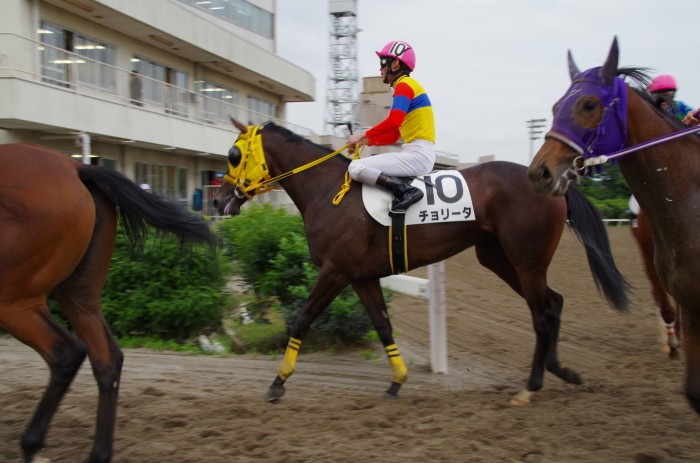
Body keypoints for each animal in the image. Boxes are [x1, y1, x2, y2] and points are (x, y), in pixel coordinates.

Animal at [0, 143, 216, 462]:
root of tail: (76, 167)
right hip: (79, 294)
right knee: (106, 359)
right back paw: (98, 453)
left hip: (14, 299)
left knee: (67, 353)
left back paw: (31, 442)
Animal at [213, 118, 628, 406]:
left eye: (233, 154)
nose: (218, 202)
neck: (329, 191)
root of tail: (552, 181)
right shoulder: (361, 276)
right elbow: (382, 326)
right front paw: (396, 382)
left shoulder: (335, 270)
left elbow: (302, 318)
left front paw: (277, 383)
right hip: (499, 258)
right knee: (553, 303)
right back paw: (563, 371)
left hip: (526, 260)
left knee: (542, 313)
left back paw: (531, 386)